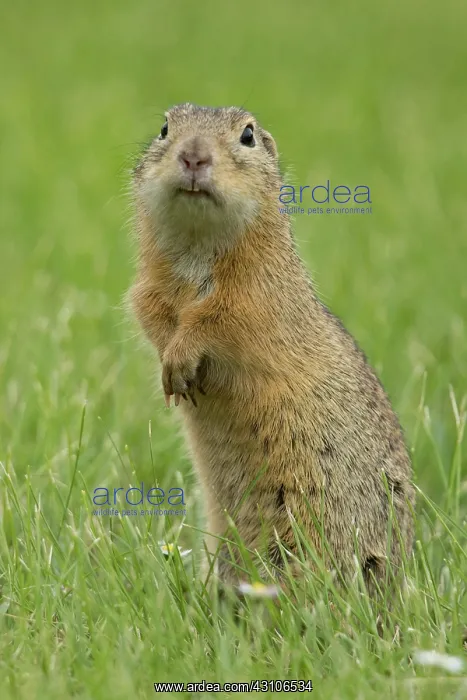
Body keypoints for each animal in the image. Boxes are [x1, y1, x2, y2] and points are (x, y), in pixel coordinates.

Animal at [129, 102, 414, 590]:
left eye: (247, 135)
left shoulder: (257, 298)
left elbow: (218, 324)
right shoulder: (148, 290)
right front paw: (171, 368)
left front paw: (181, 358)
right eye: (165, 128)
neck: (197, 245)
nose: (193, 156)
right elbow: (153, 316)